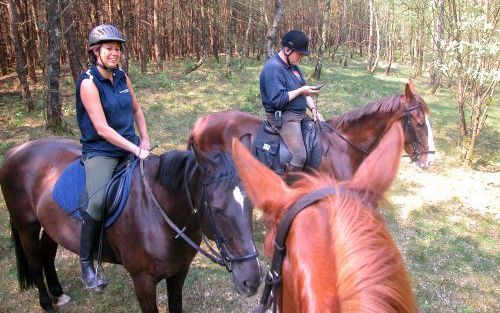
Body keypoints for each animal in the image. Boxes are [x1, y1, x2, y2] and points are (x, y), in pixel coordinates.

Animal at [0, 140, 262, 312]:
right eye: (216, 209)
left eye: (250, 204)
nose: (251, 281)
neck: (160, 216)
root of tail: (16, 151)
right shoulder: (142, 281)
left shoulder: (179, 272)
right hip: (27, 225)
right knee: (34, 261)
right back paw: (47, 304)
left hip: (52, 226)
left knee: (47, 253)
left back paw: (58, 293)